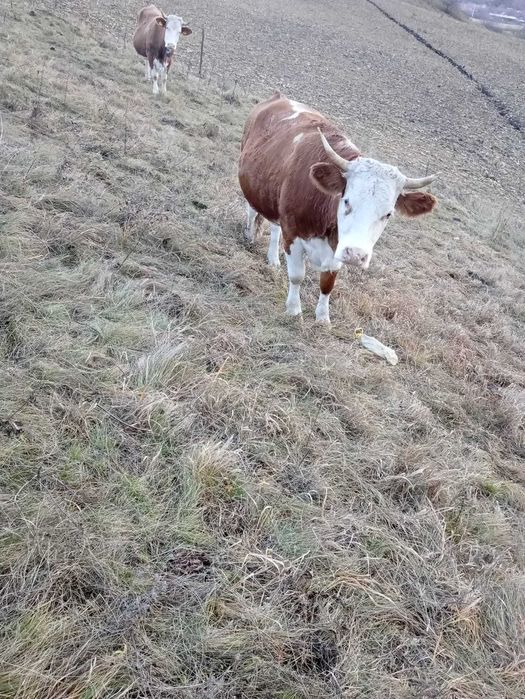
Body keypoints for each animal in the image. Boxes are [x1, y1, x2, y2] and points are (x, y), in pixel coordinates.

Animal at [238, 92, 439, 324]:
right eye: (346, 201)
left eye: (388, 214)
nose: (356, 255)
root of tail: (279, 97)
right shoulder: (293, 234)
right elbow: (297, 275)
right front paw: (294, 309)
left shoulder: (337, 247)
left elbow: (327, 284)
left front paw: (323, 318)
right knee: (252, 211)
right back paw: (249, 235)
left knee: (274, 228)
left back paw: (272, 259)